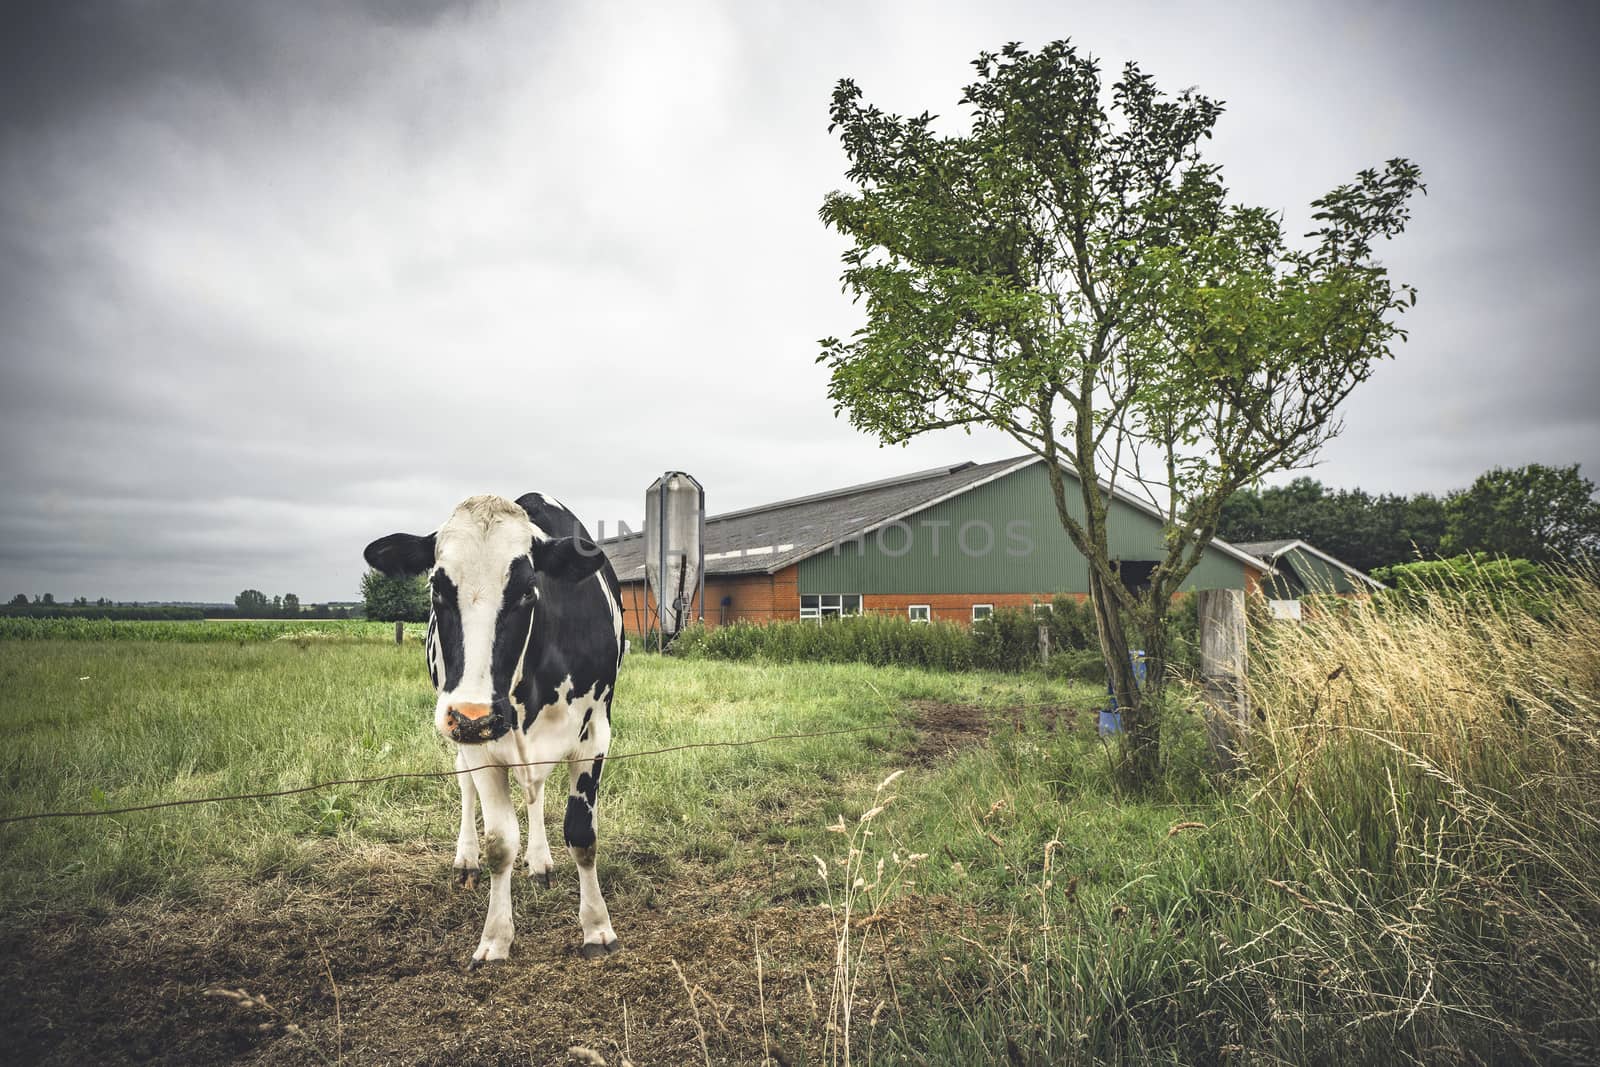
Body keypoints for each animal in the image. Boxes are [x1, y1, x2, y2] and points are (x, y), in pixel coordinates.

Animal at [366, 492, 620, 966]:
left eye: (527, 591)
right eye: (437, 588)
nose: (473, 714)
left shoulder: (595, 733)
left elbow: (582, 834)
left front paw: (597, 927)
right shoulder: (480, 745)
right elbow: (500, 844)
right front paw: (496, 937)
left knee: (536, 793)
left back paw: (540, 861)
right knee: (467, 785)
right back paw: (466, 859)